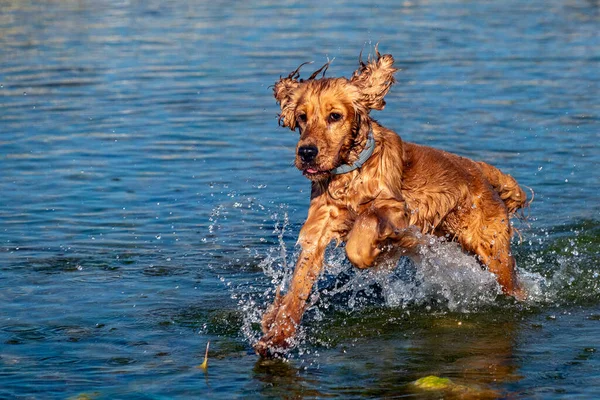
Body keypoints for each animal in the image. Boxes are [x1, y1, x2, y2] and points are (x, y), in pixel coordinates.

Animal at [255, 48, 528, 358]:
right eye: (302, 117)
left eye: (334, 116)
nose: (306, 152)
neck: (350, 173)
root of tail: (480, 170)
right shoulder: (319, 227)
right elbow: (297, 288)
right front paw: (277, 336)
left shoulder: (395, 210)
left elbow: (360, 240)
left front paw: (379, 254)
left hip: (493, 250)